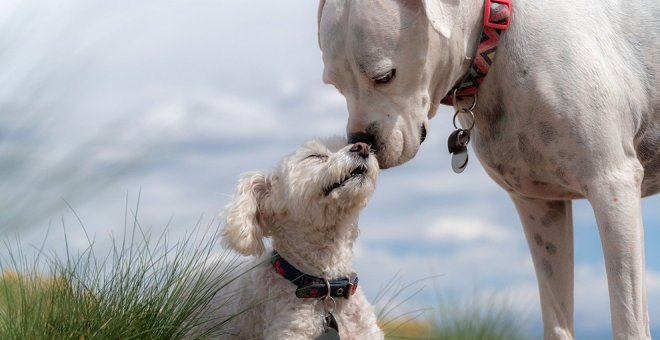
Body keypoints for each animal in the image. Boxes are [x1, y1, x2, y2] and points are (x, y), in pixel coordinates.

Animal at [318, 0, 656, 340]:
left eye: (385, 76)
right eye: (335, 86)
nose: (361, 141)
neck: (496, 35)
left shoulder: (612, 186)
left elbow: (629, 320)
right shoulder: (540, 208)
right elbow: (556, 317)